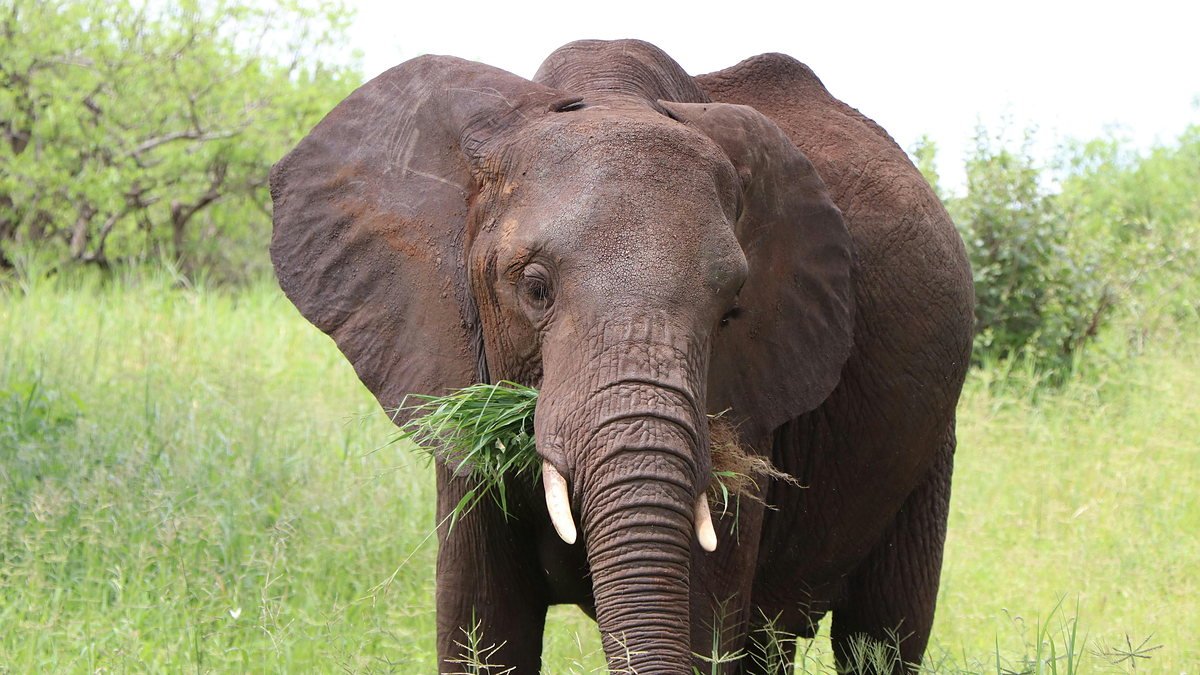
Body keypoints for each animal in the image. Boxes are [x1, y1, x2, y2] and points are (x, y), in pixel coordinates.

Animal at [269, 39, 974, 674]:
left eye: (731, 310)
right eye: (535, 289)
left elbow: (704, 628)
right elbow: (480, 628)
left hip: (931, 439)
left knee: (881, 636)